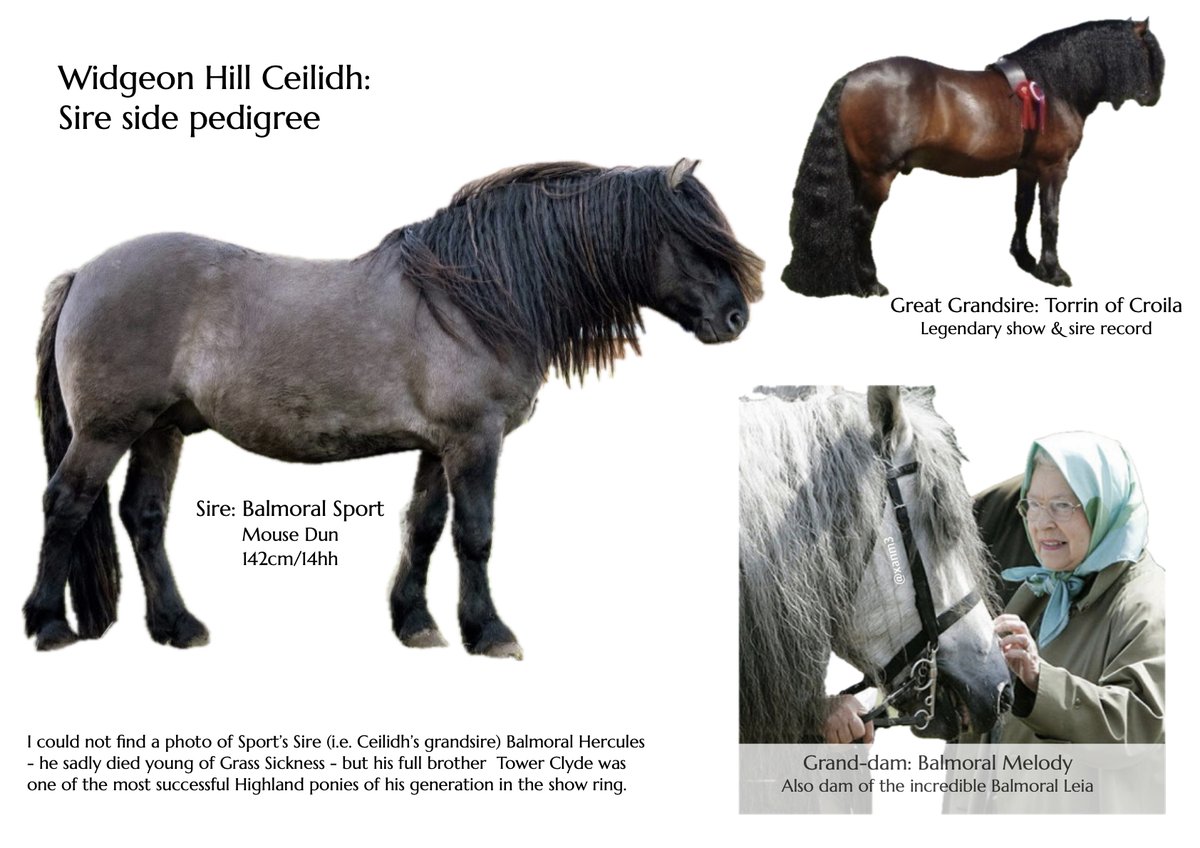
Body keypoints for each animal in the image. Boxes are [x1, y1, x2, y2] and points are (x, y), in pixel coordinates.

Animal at [25, 159, 764, 658]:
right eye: (693, 237)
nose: (736, 318)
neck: (475, 297)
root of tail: (84, 273)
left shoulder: (438, 445)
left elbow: (425, 527)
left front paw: (416, 623)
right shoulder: (475, 439)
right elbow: (475, 533)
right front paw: (489, 631)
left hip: (161, 429)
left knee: (143, 518)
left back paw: (177, 626)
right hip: (107, 429)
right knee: (66, 503)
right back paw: (50, 624)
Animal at [781, 19, 1165, 297]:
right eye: (1148, 51)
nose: (1155, 97)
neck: (1053, 87)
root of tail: (851, 79)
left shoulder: (1027, 167)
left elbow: (1023, 210)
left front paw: (1024, 259)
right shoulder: (1054, 167)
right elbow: (1050, 217)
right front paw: (1053, 271)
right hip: (878, 174)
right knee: (862, 221)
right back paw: (870, 283)